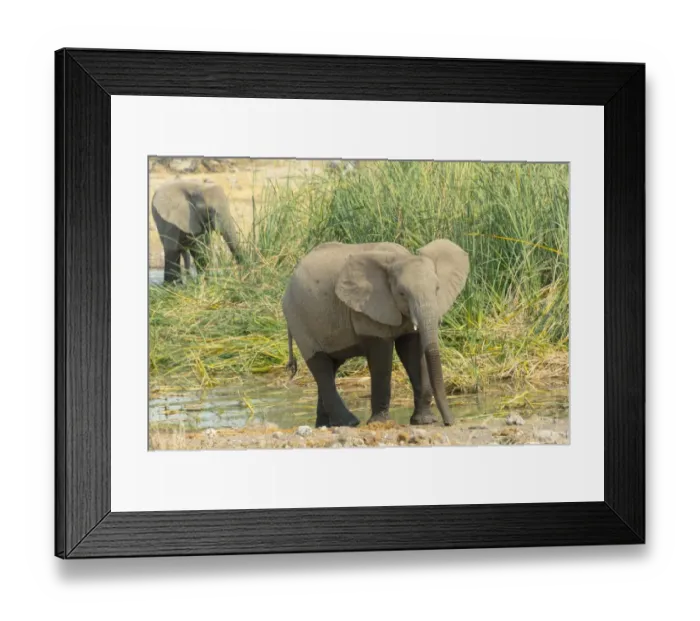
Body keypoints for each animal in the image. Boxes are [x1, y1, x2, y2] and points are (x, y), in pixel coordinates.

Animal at [283, 239, 470, 428]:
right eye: (402, 293)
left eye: (437, 289)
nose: (449, 422)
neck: (399, 257)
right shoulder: (367, 308)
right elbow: (381, 357)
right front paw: (380, 422)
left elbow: (412, 351)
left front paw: (424, 421)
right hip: (299, 321)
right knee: (320, 366)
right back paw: (349, 422)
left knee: (331, 366)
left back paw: (325, 425)